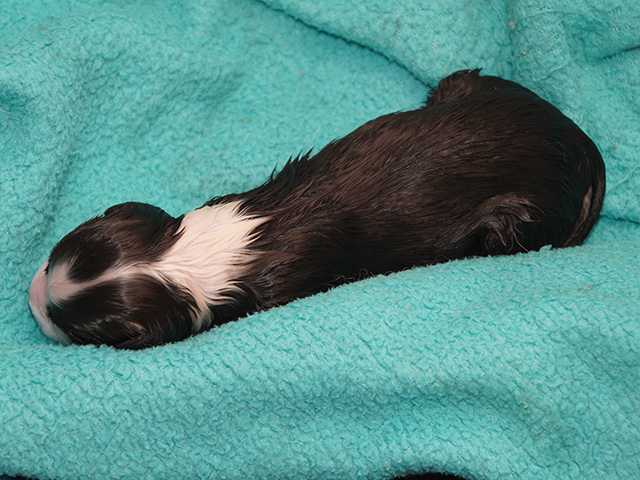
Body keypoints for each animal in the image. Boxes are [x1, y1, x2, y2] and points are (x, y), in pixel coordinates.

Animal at [28, 69, 606, 349]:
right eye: (51, 256)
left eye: (76, 328)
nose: (31, 299)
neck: (189, 257)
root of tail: (582, 144)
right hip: (463, 85)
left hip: (515, 221)